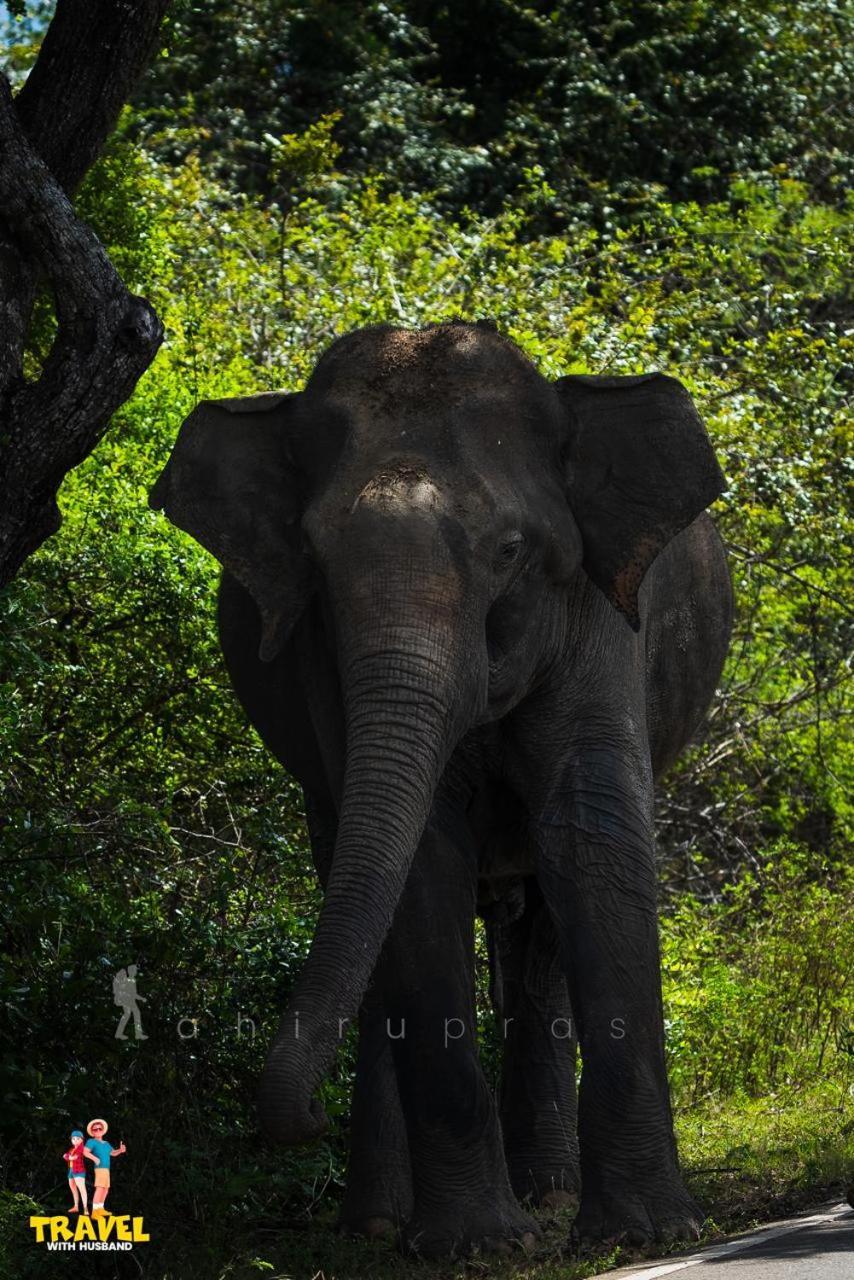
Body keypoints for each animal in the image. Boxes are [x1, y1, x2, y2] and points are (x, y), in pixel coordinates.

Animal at [148, 314, 737, 1254]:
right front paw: (478, 1246)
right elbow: (421, 861)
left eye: (511, 552)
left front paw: (648, 1234)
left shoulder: (600, 615)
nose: (301, 1122)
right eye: (313, 562)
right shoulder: (319, 659)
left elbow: (590, 831)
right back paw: (383, 1224)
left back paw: (550, 1199)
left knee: (537, 926)